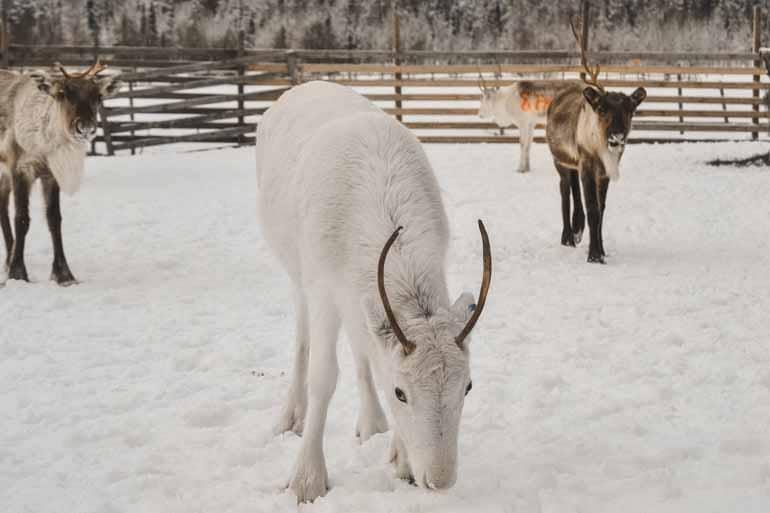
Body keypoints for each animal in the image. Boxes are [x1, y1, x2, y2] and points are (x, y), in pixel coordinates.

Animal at [0, 60, 122, 285]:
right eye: (62, 93)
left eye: (98, 96)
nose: (85, 128)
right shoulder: (20, 168)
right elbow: (22, 219)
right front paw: (17, 273)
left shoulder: (50, 174)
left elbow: (54, 219)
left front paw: (64, 274)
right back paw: (9, 261)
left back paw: (7, 258)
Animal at [256, 81, 492, 503]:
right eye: (401, 393)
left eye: (467, 387)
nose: (440, 481)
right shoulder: (323, 290)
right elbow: (324, 377)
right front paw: (307, 480)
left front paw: (402, 460)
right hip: (298, 276)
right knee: (302, 341)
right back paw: (290, 417)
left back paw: (372, 424)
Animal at [545, 17, 646, 263]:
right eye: (602, 109)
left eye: (630, 110)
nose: (617, 136)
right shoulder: (587, 164)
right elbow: (592, 208)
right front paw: (594, 255)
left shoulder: (605, 172)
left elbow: (601, 210)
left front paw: (601, 250)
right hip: (559, 160)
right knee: (564, 191)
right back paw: (568, 236)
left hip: (574, 164)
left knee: (574, 190)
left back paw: (577, 229)